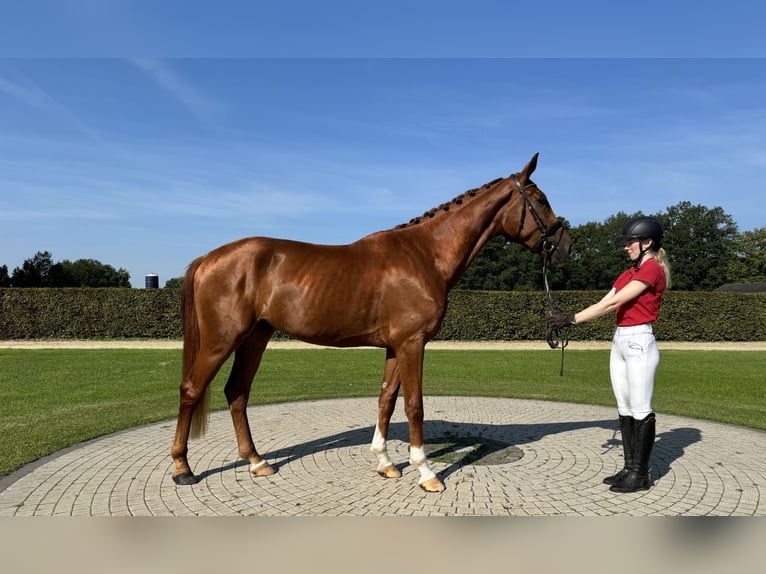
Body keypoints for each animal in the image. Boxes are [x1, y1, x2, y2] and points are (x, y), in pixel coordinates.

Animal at [172, 154, 568, 496]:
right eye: (542, 200)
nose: (564, 248)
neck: (425, 254)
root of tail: (208, 258)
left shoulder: (395, 346)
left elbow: (386, 399)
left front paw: (385, 463)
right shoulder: (412, 343)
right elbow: (414, 405)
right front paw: (426, 472)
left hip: (256, 337)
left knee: (237, 392)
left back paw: (257, 462)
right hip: (222, 340)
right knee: (191, 389)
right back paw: (182, 469)